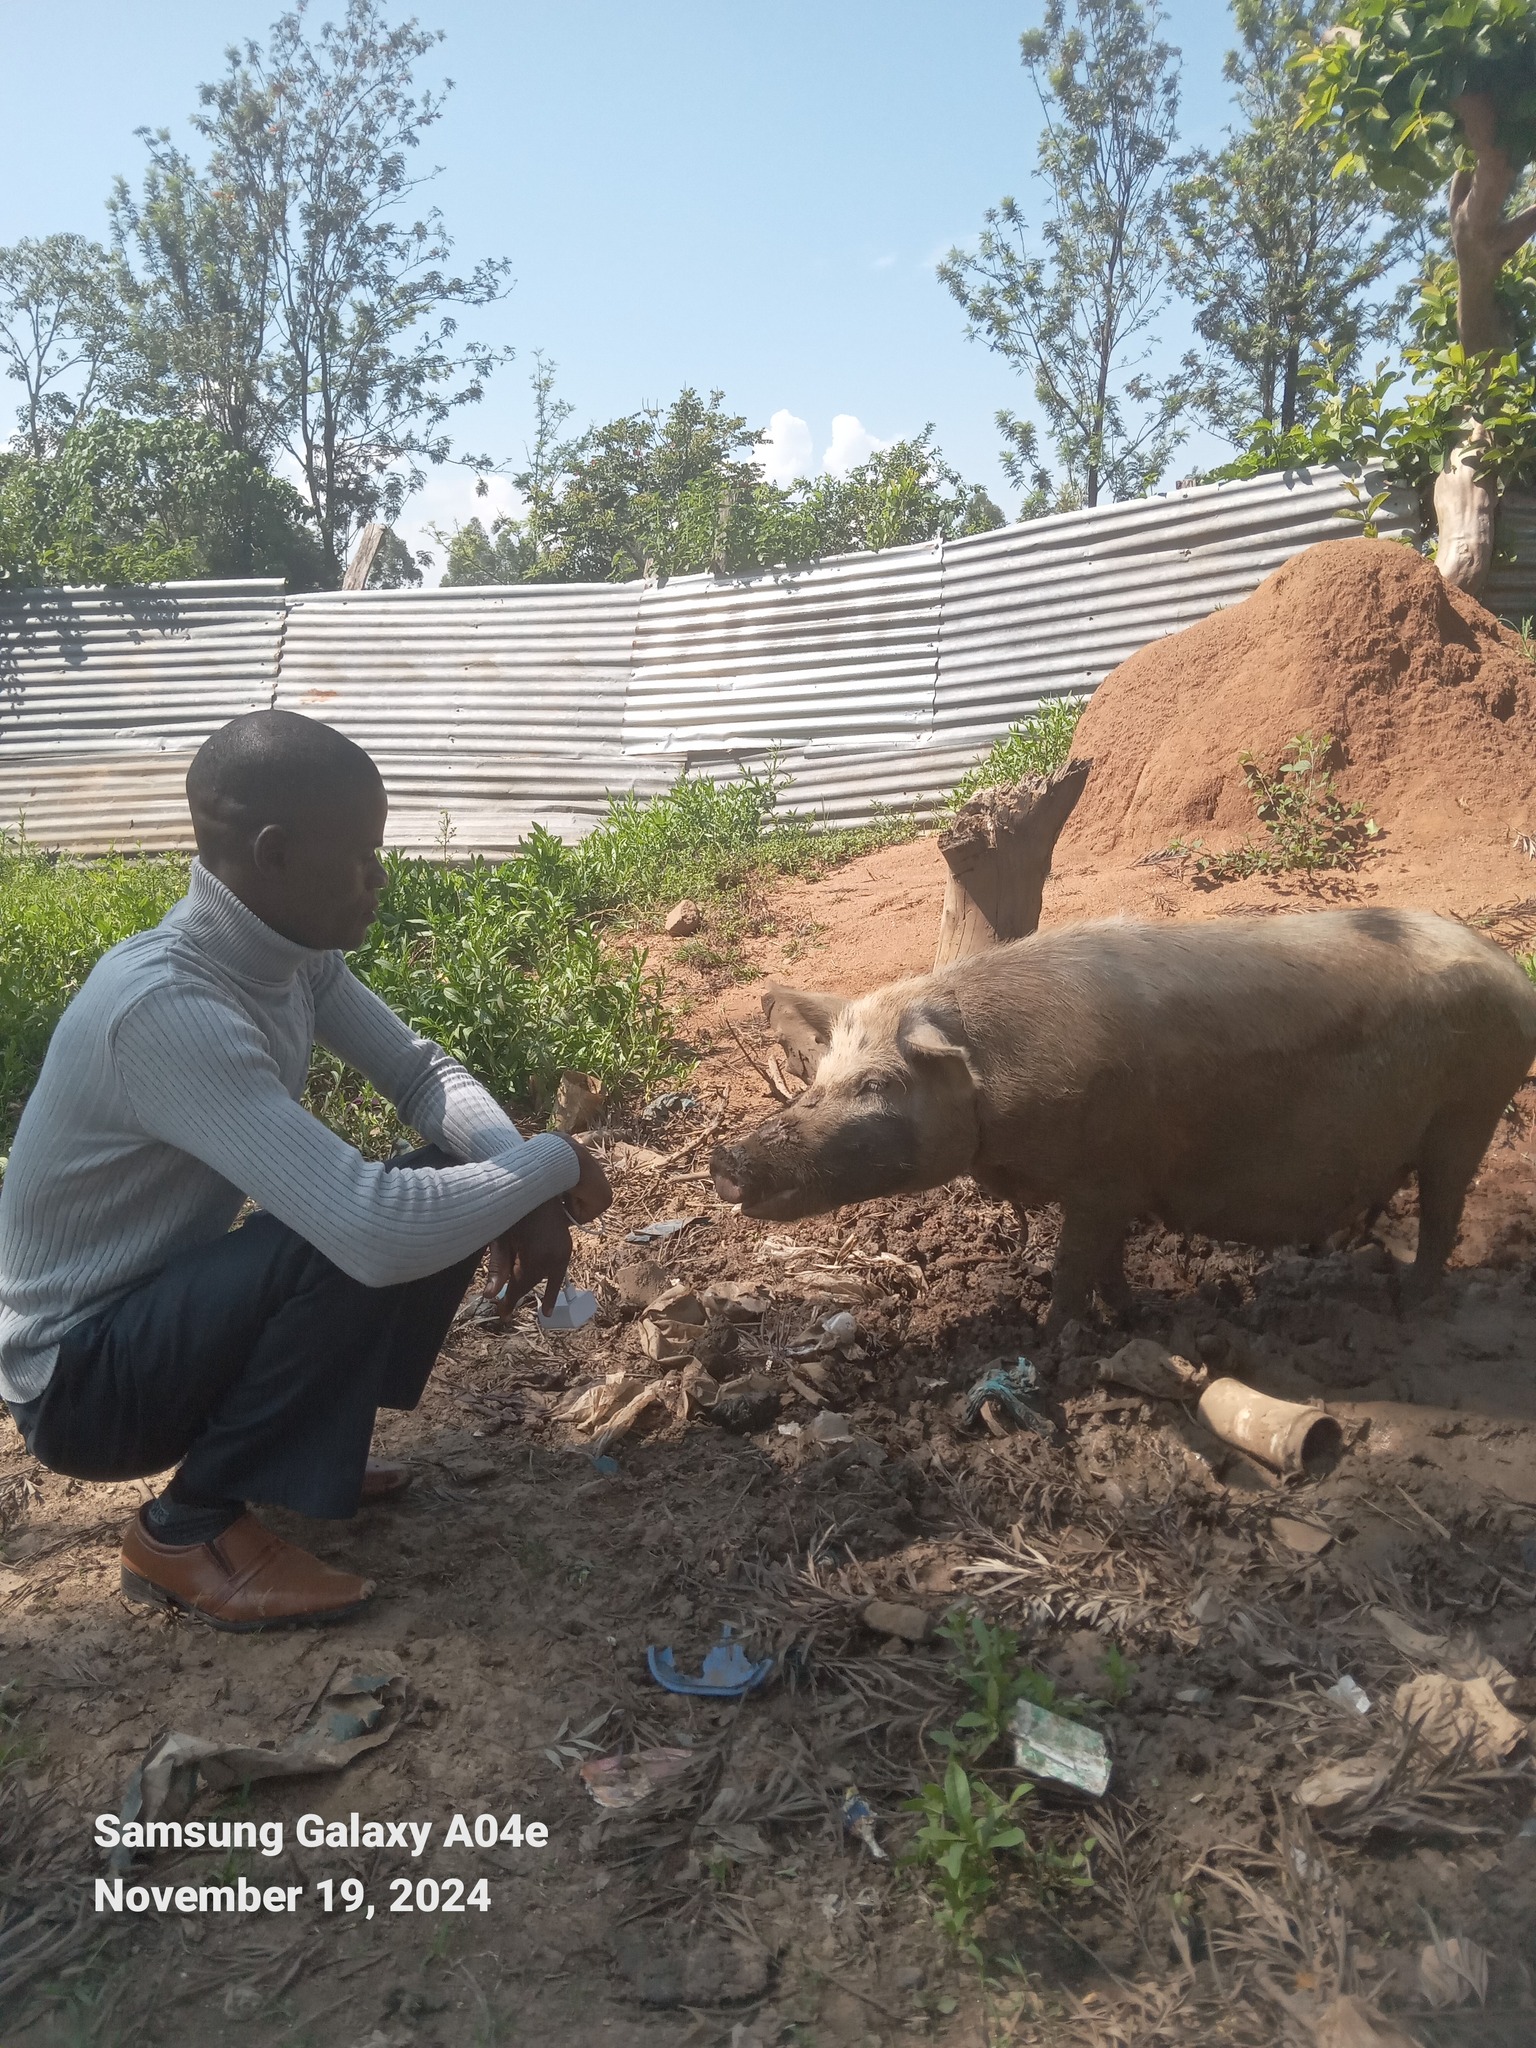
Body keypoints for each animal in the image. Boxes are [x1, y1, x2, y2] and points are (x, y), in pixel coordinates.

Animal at [711, 909, 1536, 1327]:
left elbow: (1074, 1264)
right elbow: (1104, 1262)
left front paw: (1053, 1336)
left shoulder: (1106, 1177)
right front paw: (1127, 1316)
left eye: (880, 1082)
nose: (725, 1161)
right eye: (820, 1076)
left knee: (1444, 1212)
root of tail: (1512, 972)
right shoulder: (1110, 1187)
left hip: (1470, 1112)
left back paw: (1412, 1305)